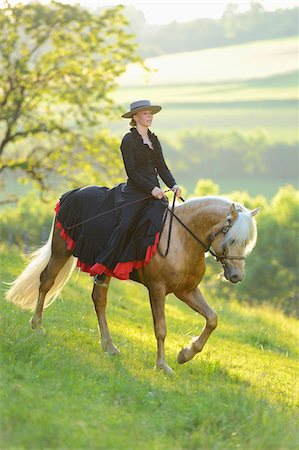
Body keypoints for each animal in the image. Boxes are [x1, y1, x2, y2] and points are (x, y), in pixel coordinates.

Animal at [5, 193, 262, 372]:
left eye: (246, 242)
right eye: (231, 238)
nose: (237, 276)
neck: (182, 238)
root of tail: (69, 195)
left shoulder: (187, 291)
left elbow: (212, 319)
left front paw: (185, 354)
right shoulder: (157, 289)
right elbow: (161, 328)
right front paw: (162, 365)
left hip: (101, 268)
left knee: (99, 300)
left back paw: (109, 346)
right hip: (61, 250)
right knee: (46, 282)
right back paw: (37, 326)